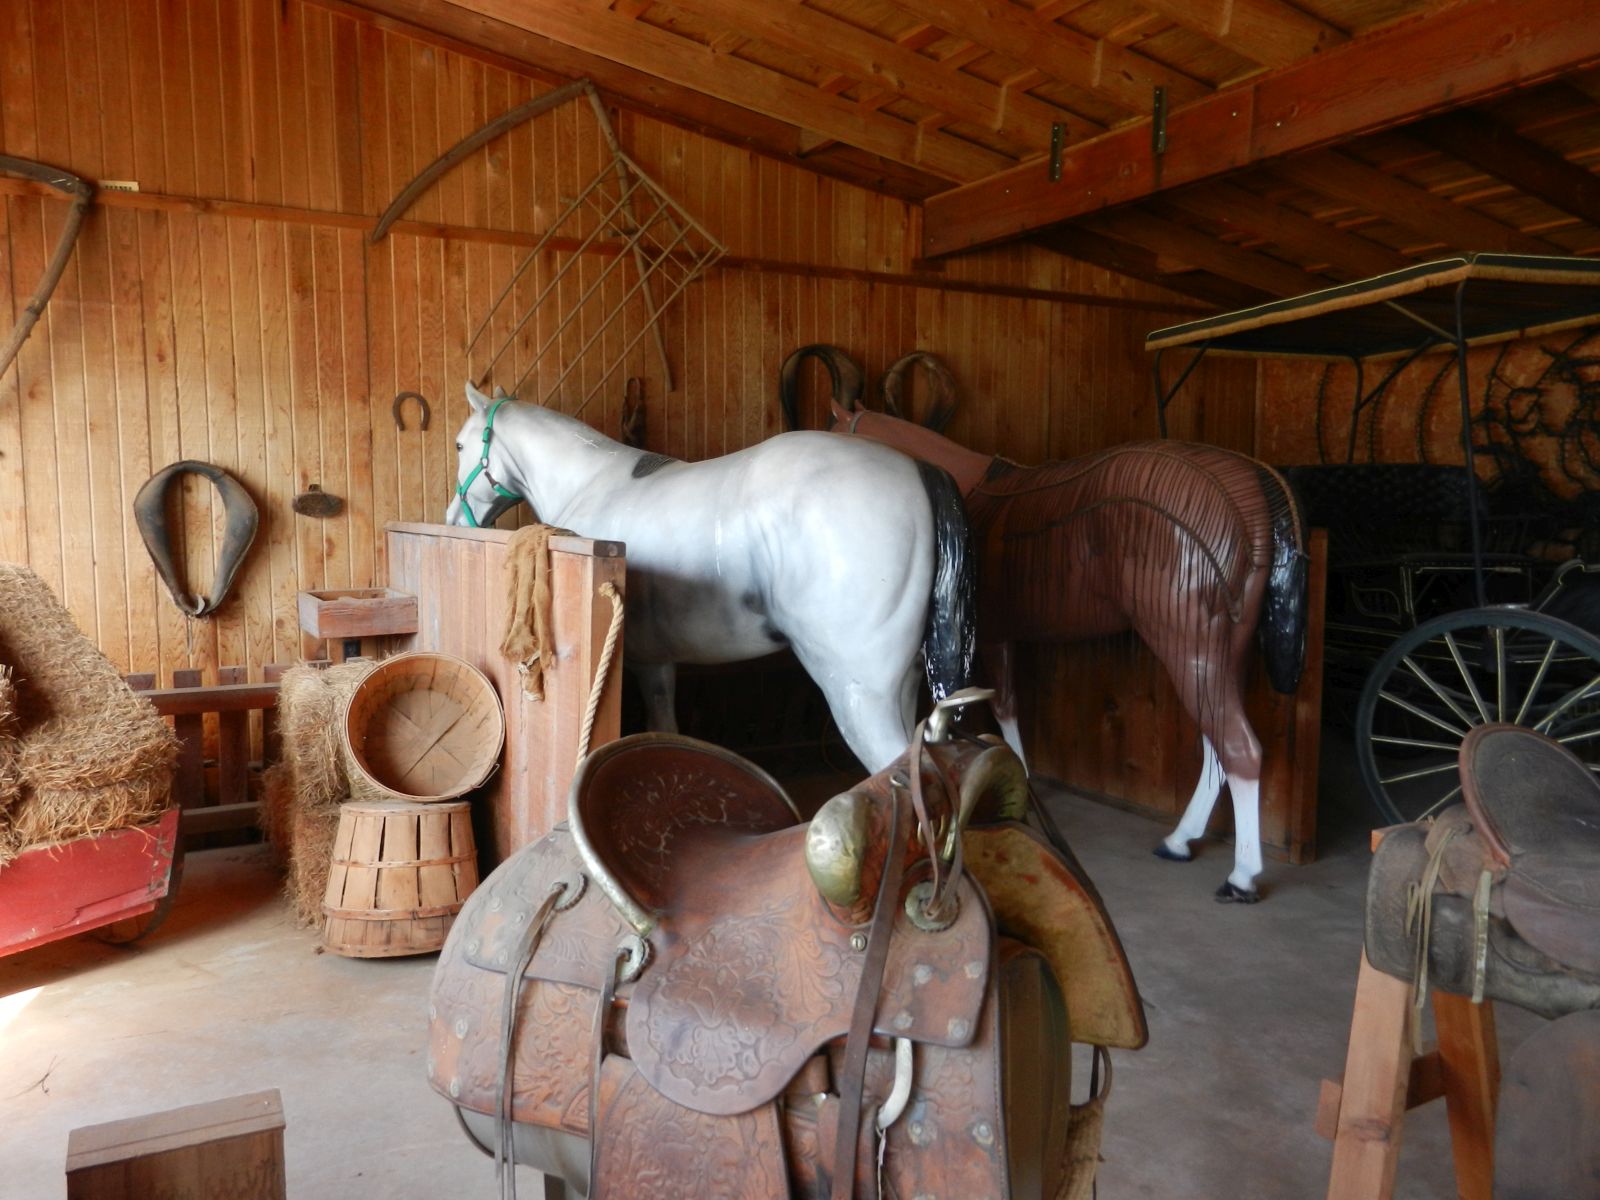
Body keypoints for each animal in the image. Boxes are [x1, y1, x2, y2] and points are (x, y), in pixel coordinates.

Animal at [446, 382, 975, 773]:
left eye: (460, 443)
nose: (454, 519)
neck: (594, 483)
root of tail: (918, 470)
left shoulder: (646, 664)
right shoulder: (659, 662)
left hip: (860, 692)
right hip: (902, 685)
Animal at [781, 346, 1309, 901]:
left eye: (830, 430)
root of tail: (1249, 488)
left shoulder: (991, 639)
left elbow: (1000, 710)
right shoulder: (1007, 638)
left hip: (1191, 645)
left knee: (1239, 747)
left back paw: (1241, 875)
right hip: (1223, 650)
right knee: (1217, 745)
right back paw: (1181, 840)